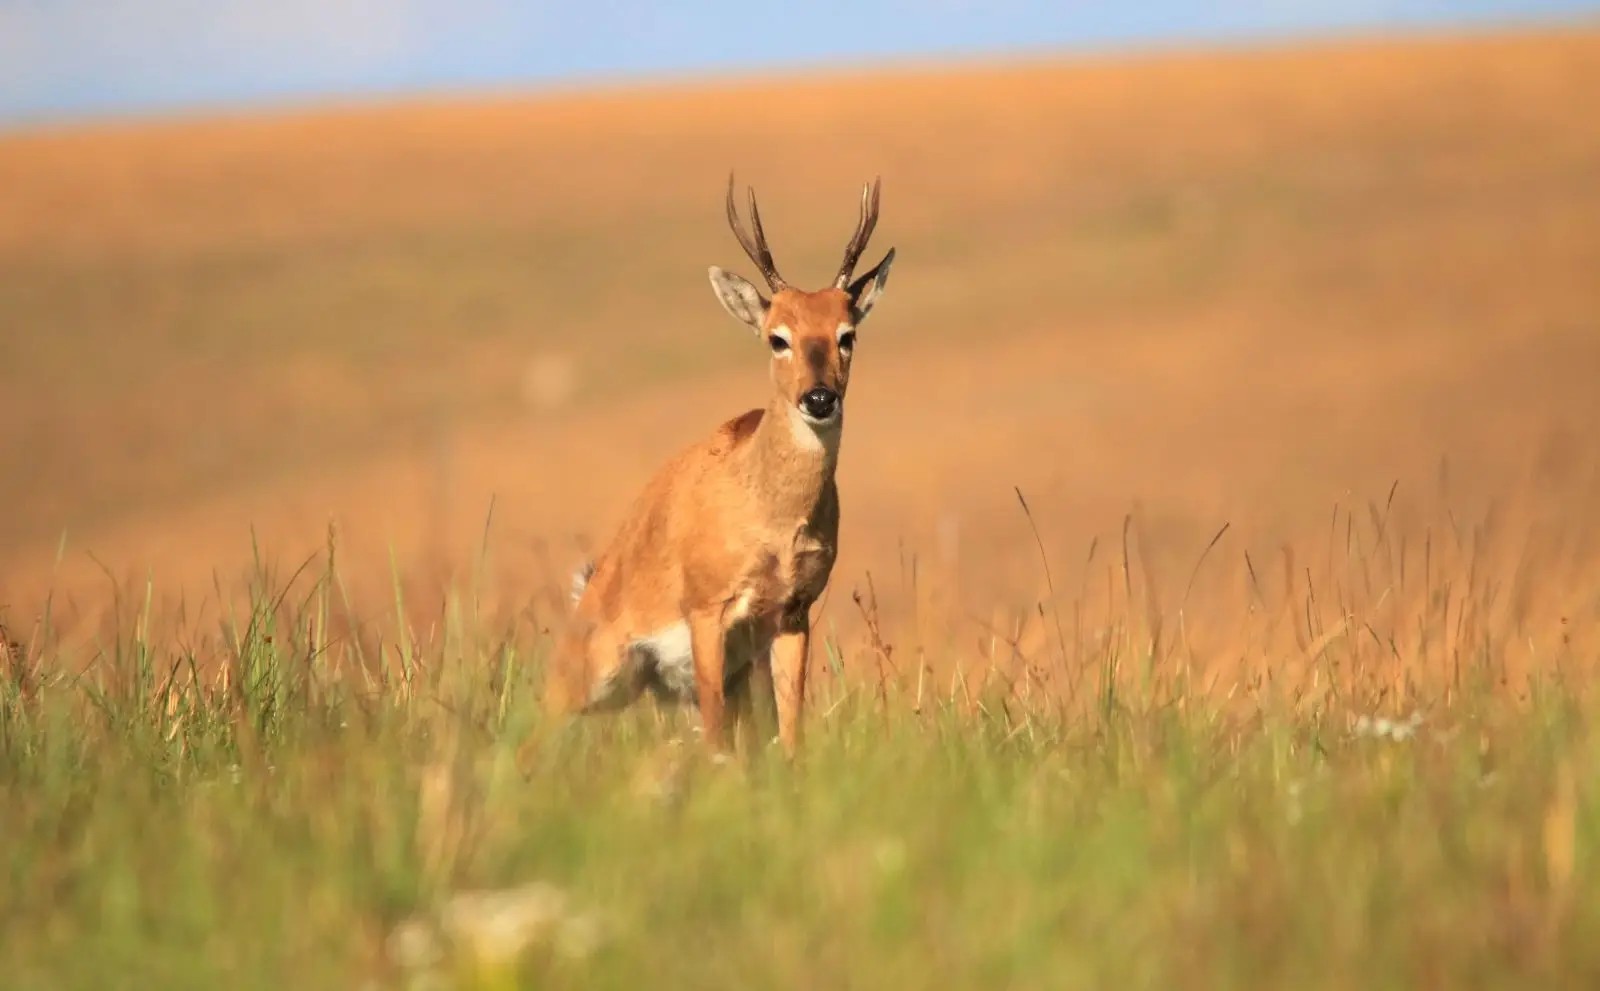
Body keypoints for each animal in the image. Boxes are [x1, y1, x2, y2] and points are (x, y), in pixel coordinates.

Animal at [544, 174, 896, 759]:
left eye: (846, 334)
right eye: (778, 337)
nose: (819, 398)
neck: (768, 514)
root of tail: (584, 594)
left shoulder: (791, 614)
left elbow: (790, 733)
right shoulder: (708, 613)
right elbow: (716, 742)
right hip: (595, 675)